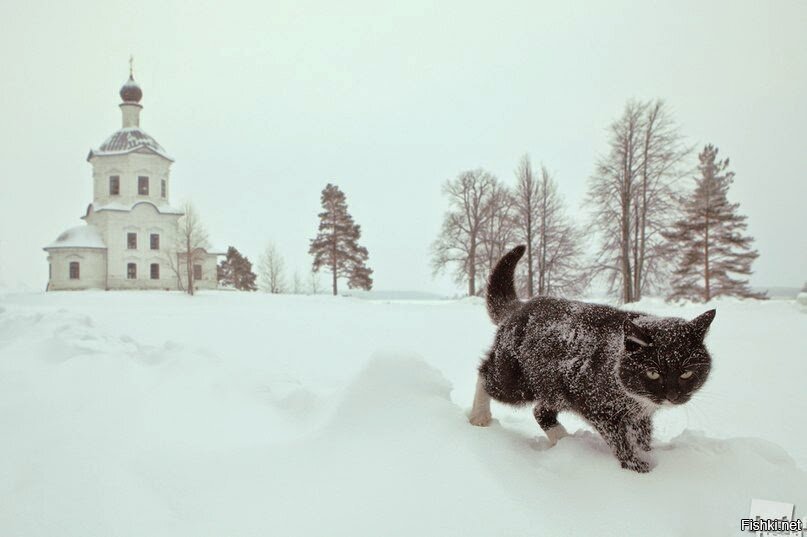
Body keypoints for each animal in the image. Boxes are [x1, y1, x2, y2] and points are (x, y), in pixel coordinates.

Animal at [470, 245, 716, 472]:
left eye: (686, 373)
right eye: (653, 373)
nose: (673, 395)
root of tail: (519, 307)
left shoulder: (640, 415)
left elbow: (641, 437)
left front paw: (648, 455)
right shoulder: (596, 406)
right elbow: (620, 440)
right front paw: (637, 467)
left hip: (553, 386)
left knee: (540, 411)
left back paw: (563, 440)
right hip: (517, 380)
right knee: (486, 376)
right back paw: (479, 416)